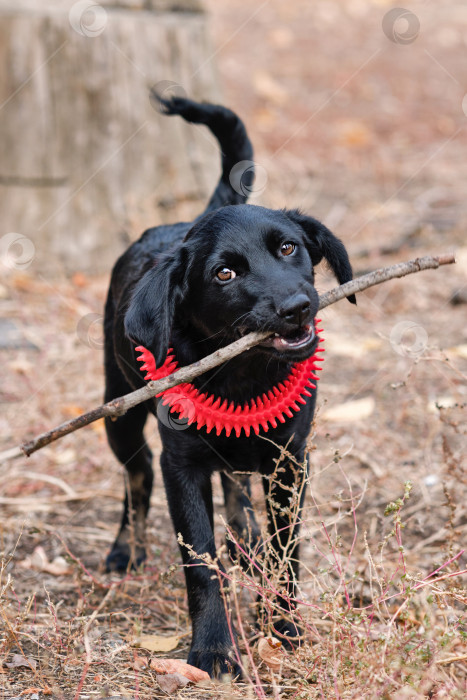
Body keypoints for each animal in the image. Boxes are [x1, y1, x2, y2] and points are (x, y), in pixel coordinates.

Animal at [105, 95, 354, 676]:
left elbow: (288, 554)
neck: (243, 374)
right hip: (118, 411)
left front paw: (283, 629)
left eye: (288, 248)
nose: (297, 307)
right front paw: (213, 650)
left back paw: (247, 544)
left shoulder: (289, 460)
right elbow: (200, 563)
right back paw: (127, 548)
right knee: (137, 476)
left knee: (236, 487)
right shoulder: (182, 468)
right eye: (224, 274)